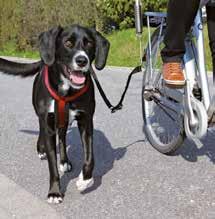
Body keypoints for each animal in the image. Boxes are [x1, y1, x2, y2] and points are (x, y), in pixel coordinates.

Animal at [0, 24, 109, 204]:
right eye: (68, 43)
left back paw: (64, 161)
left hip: (64, 121)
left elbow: (90, 157)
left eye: (89, 43)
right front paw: (55, 192)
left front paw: (84, 180)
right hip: (42, 115)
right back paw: (41, 149)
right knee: (42, 131)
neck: (67, 90)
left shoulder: (86, 121)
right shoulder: (48, 124)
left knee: (63, 137)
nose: (82, 60)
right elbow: (52, 165)